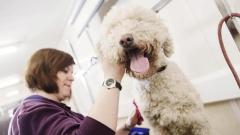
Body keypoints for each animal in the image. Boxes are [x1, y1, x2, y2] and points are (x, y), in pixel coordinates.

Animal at [96, 3, 211, 135]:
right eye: (112, 29)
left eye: (139, 20)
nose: (125, 39)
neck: (151, 77)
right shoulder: (157, 128)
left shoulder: (198, 121)